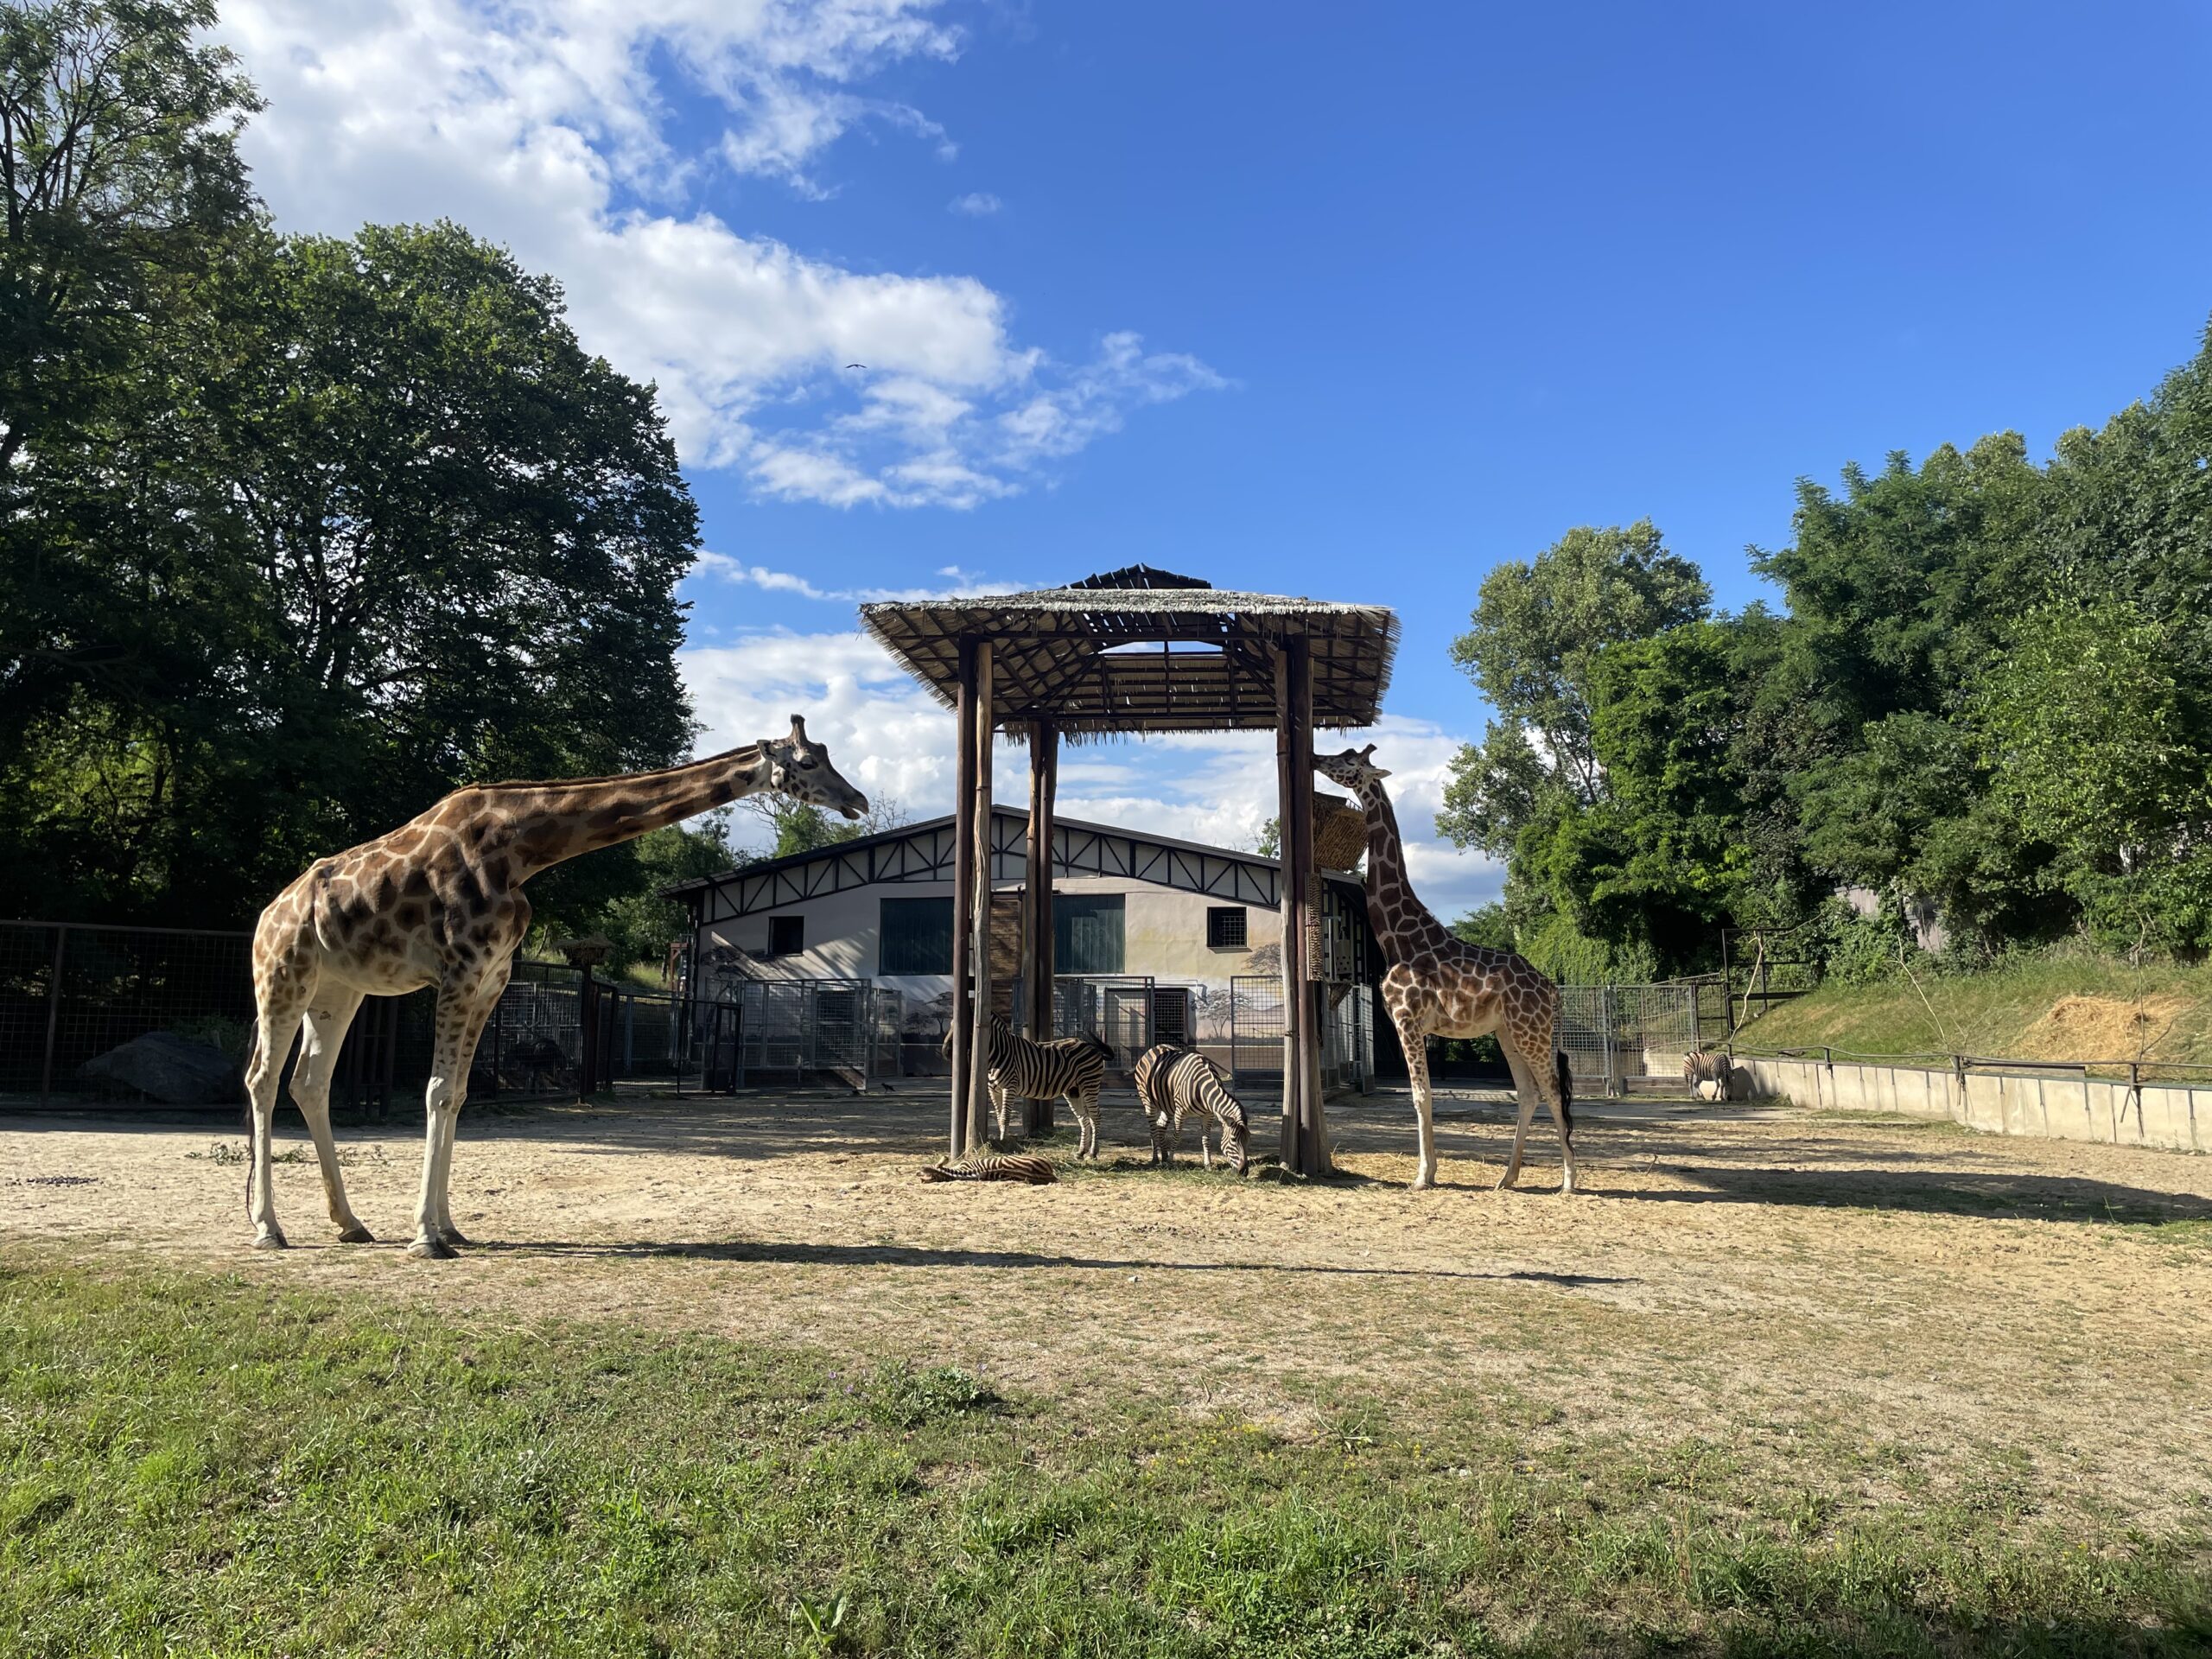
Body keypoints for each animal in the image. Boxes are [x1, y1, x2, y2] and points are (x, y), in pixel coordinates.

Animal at [242, 716, 862, 1256]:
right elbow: (438, 1090)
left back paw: (349, 1223)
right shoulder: (459, 970)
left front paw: (450, 1227)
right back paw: (268, 1228)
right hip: (283, 975)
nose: (857, 800)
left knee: (310, 1083)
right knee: (262, 1079)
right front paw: (425, 1238)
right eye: (808, 761)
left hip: (338, 990)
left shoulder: (492, 979)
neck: (523, 849)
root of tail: (266, 915)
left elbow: (458, 1093)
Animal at [938, 1013, 1115, 1159]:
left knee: (1095, 1117)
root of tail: (1092, 1047)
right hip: (1073, 1090)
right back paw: (1081, 1152)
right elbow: (999, 1116)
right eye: (951, 1025)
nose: (945, 1052)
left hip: (1089, 1084)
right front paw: (1003, 1142)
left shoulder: (1009, 1087)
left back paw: (1093, 1153)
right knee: (1084, 1118)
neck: (997, 1053)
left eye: (967, 1029)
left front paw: (1004, 1143)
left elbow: (1005, 1117)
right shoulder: (994, 1090)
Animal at [1132, 1044, 1256, 1176]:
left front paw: (1208, 1165)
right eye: (1233, 1140)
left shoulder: (1208, 1115)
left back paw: (1164, 1157)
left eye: (1249, 1139)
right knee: (1153, 1129)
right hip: (1148, 1101)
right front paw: (1170, 1162)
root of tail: (1156, 1047)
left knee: (1160, 1126)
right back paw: (1156, 1159)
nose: (1244, 1171)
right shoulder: (1180, 1112)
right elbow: (1176, 1136)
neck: (1203, 1089)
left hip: (1168, 1107)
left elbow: (1206, 1139)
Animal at [1309, 743, 1574, 1194]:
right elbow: (1423, 1094)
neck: (1397, 937)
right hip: (1508, 1032)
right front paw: (1429, 1171)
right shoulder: (1412, 1024)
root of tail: (1552, 991)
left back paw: (1569, 1181)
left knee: (1553, 1090)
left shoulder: (1407, 1019)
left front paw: (1422, 1176)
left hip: (1531, 1032)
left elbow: (1421, 1095)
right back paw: (1506, 1177)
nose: (1314, 757)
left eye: (1348, 760)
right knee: (1528, 1093)